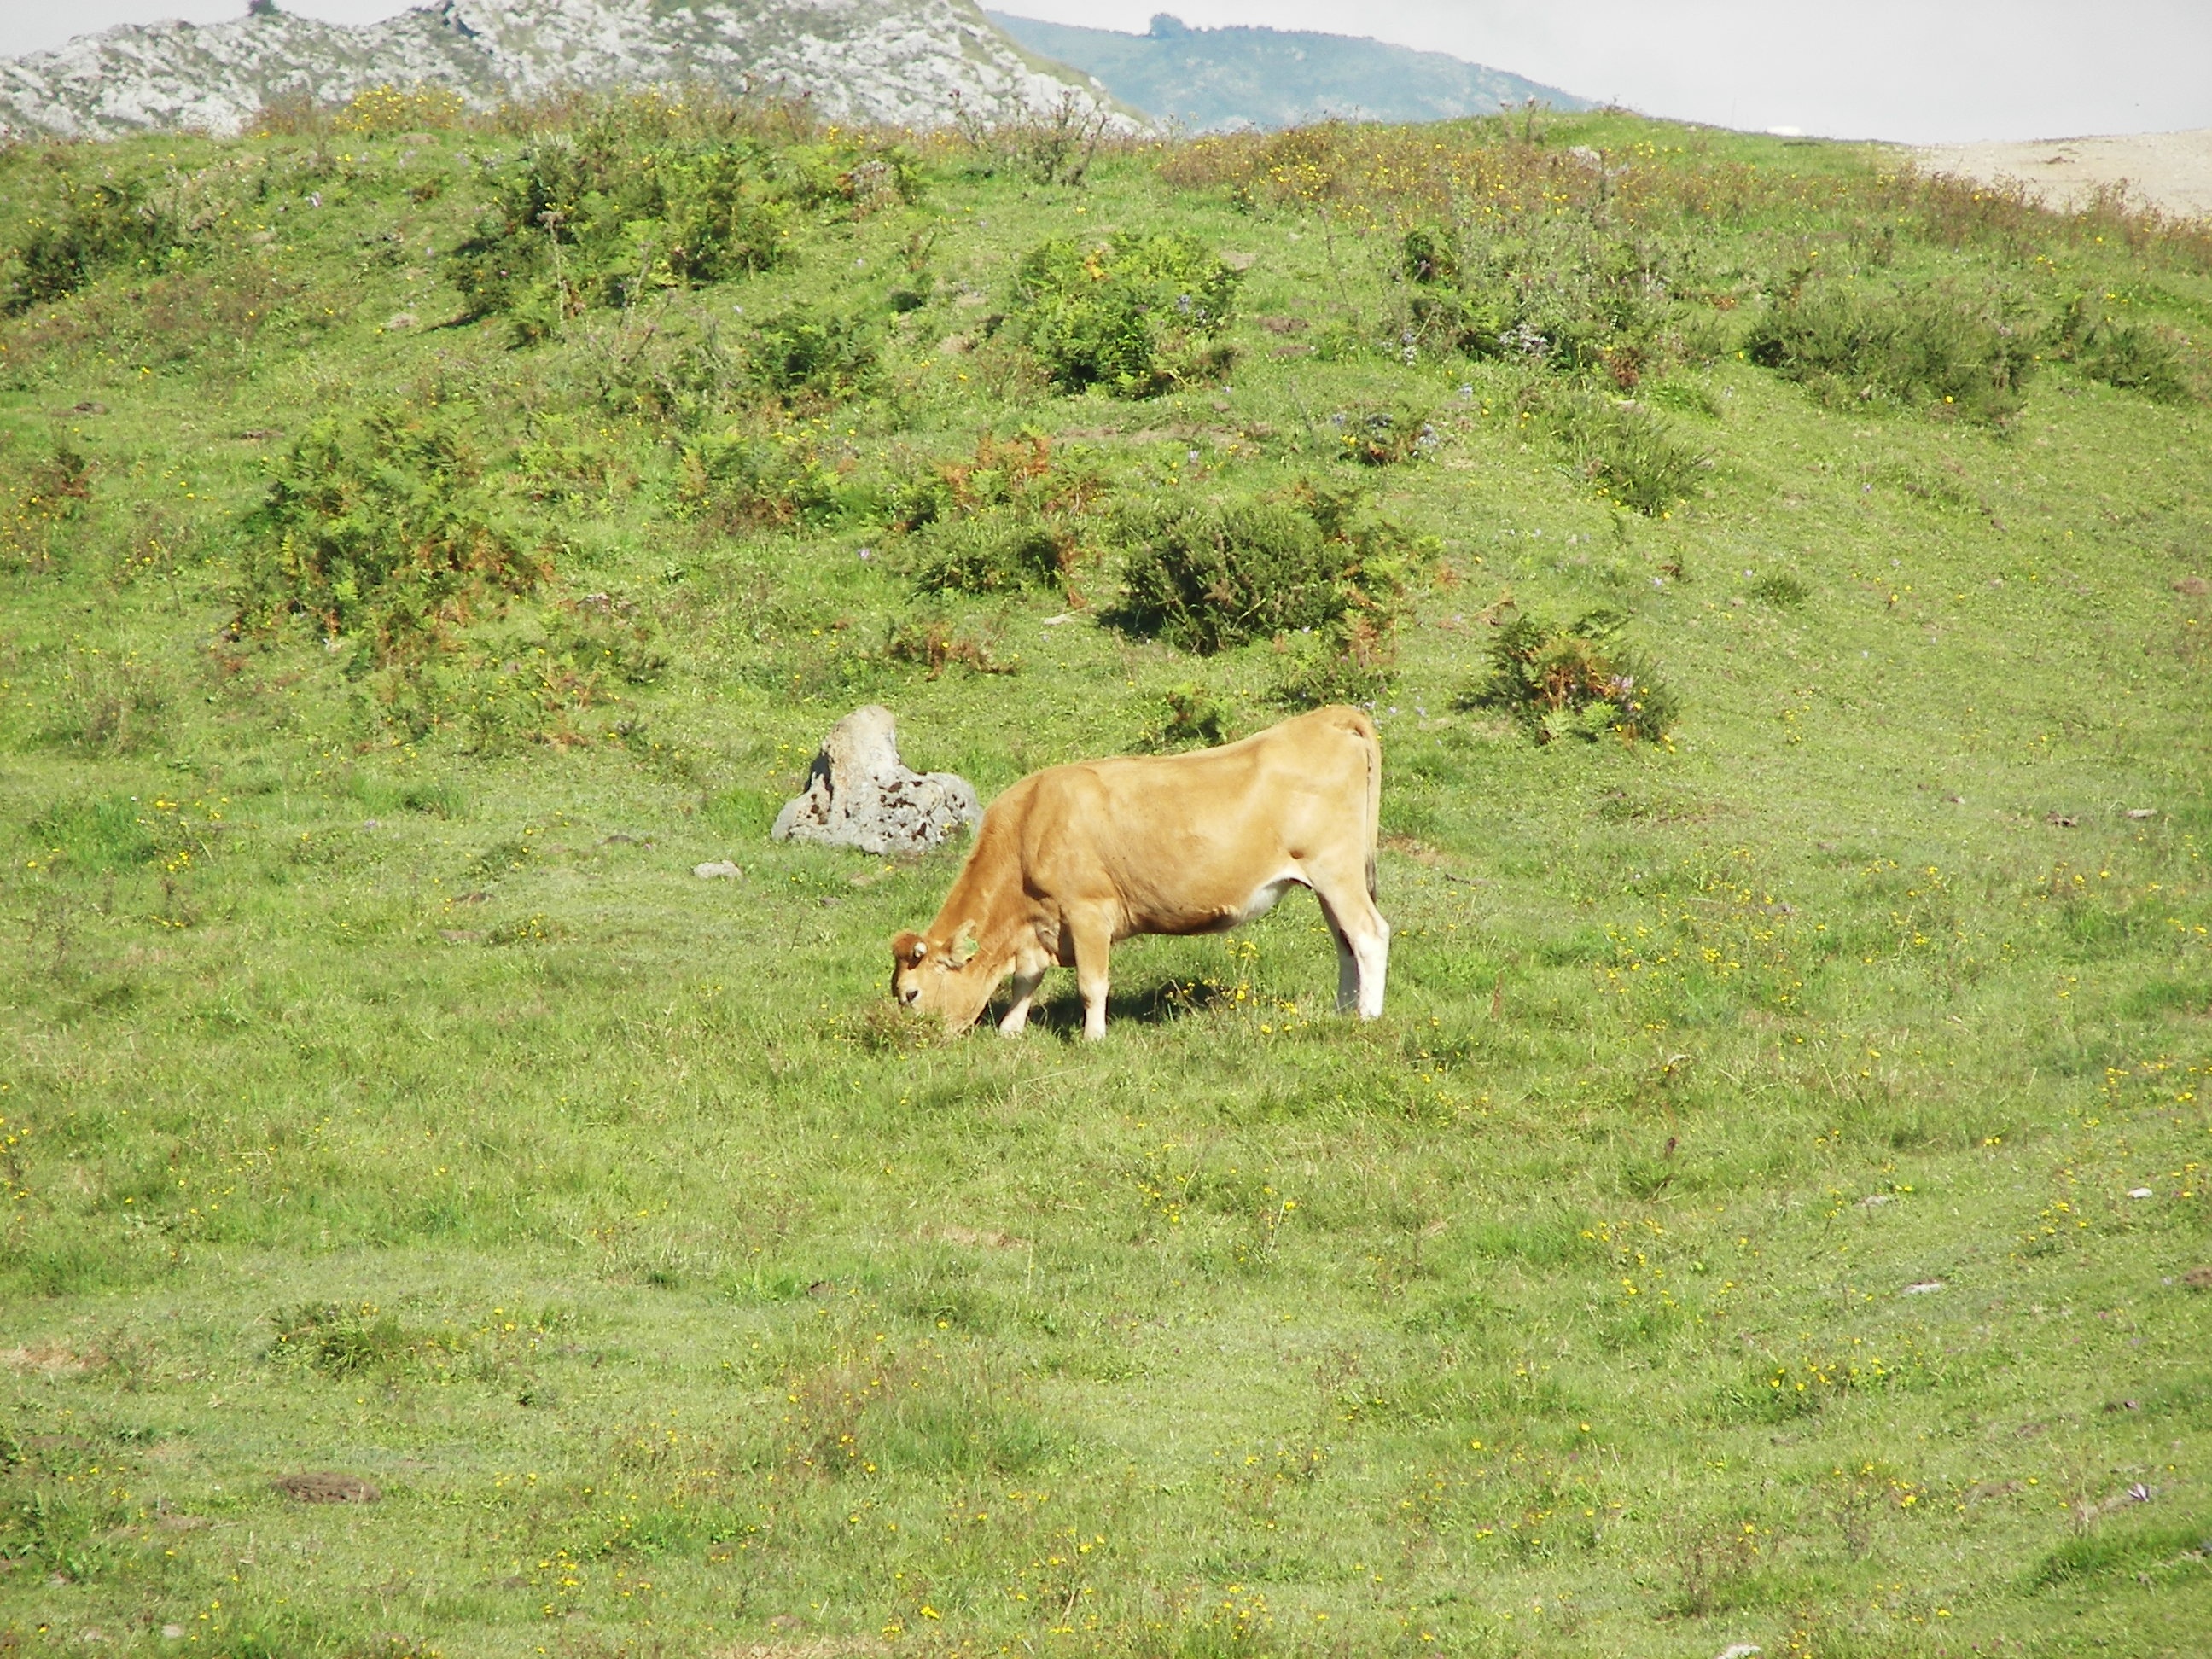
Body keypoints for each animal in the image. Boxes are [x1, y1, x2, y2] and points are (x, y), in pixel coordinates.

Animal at [890, 705, 1389, 1039]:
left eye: (911, 994)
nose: (916, 1040)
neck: (1031, 822)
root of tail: (1326, 718)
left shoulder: (1087, 911)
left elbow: (1091, 984)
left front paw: (1093, 1038)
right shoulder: (1039, 925)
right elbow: (1026, 979)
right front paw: (1010, 1030)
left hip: (1335, 869)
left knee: (1369, 934)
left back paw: (1369, 1017)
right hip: (1327, 879)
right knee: (1345, 942)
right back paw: (1343, 1011)